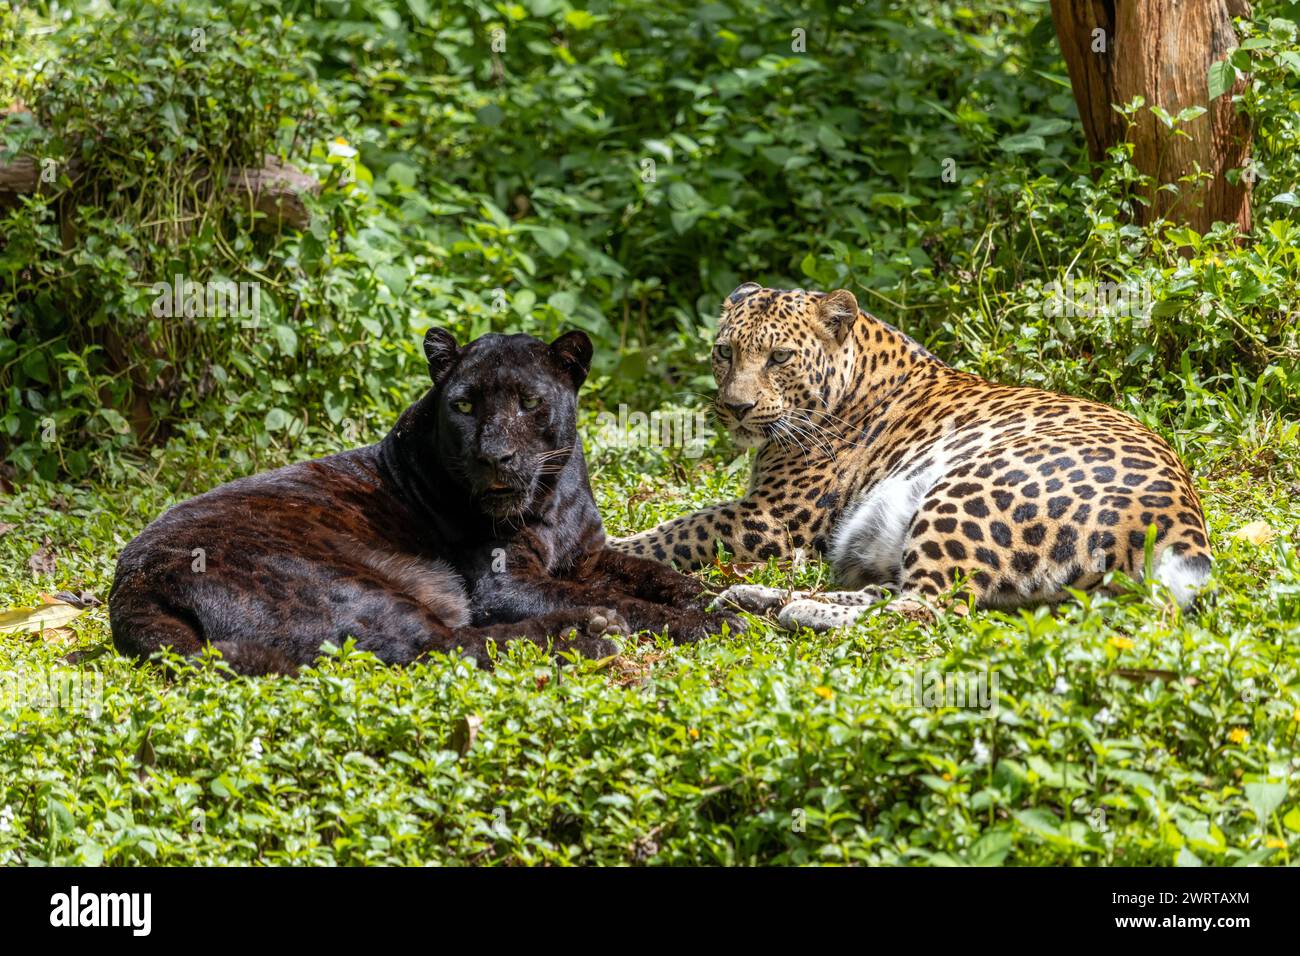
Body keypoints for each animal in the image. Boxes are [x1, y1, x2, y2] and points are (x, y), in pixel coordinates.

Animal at [605, 280, 1206, 632]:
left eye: (779, 357)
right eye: (724, 352)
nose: (735, 407)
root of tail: (1182, 527)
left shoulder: (772, 518)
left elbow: (682, 528)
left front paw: (612, 545)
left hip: (966, 488)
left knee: (927, 606)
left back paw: (794, 608)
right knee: (894, 592)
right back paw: (756, 597)